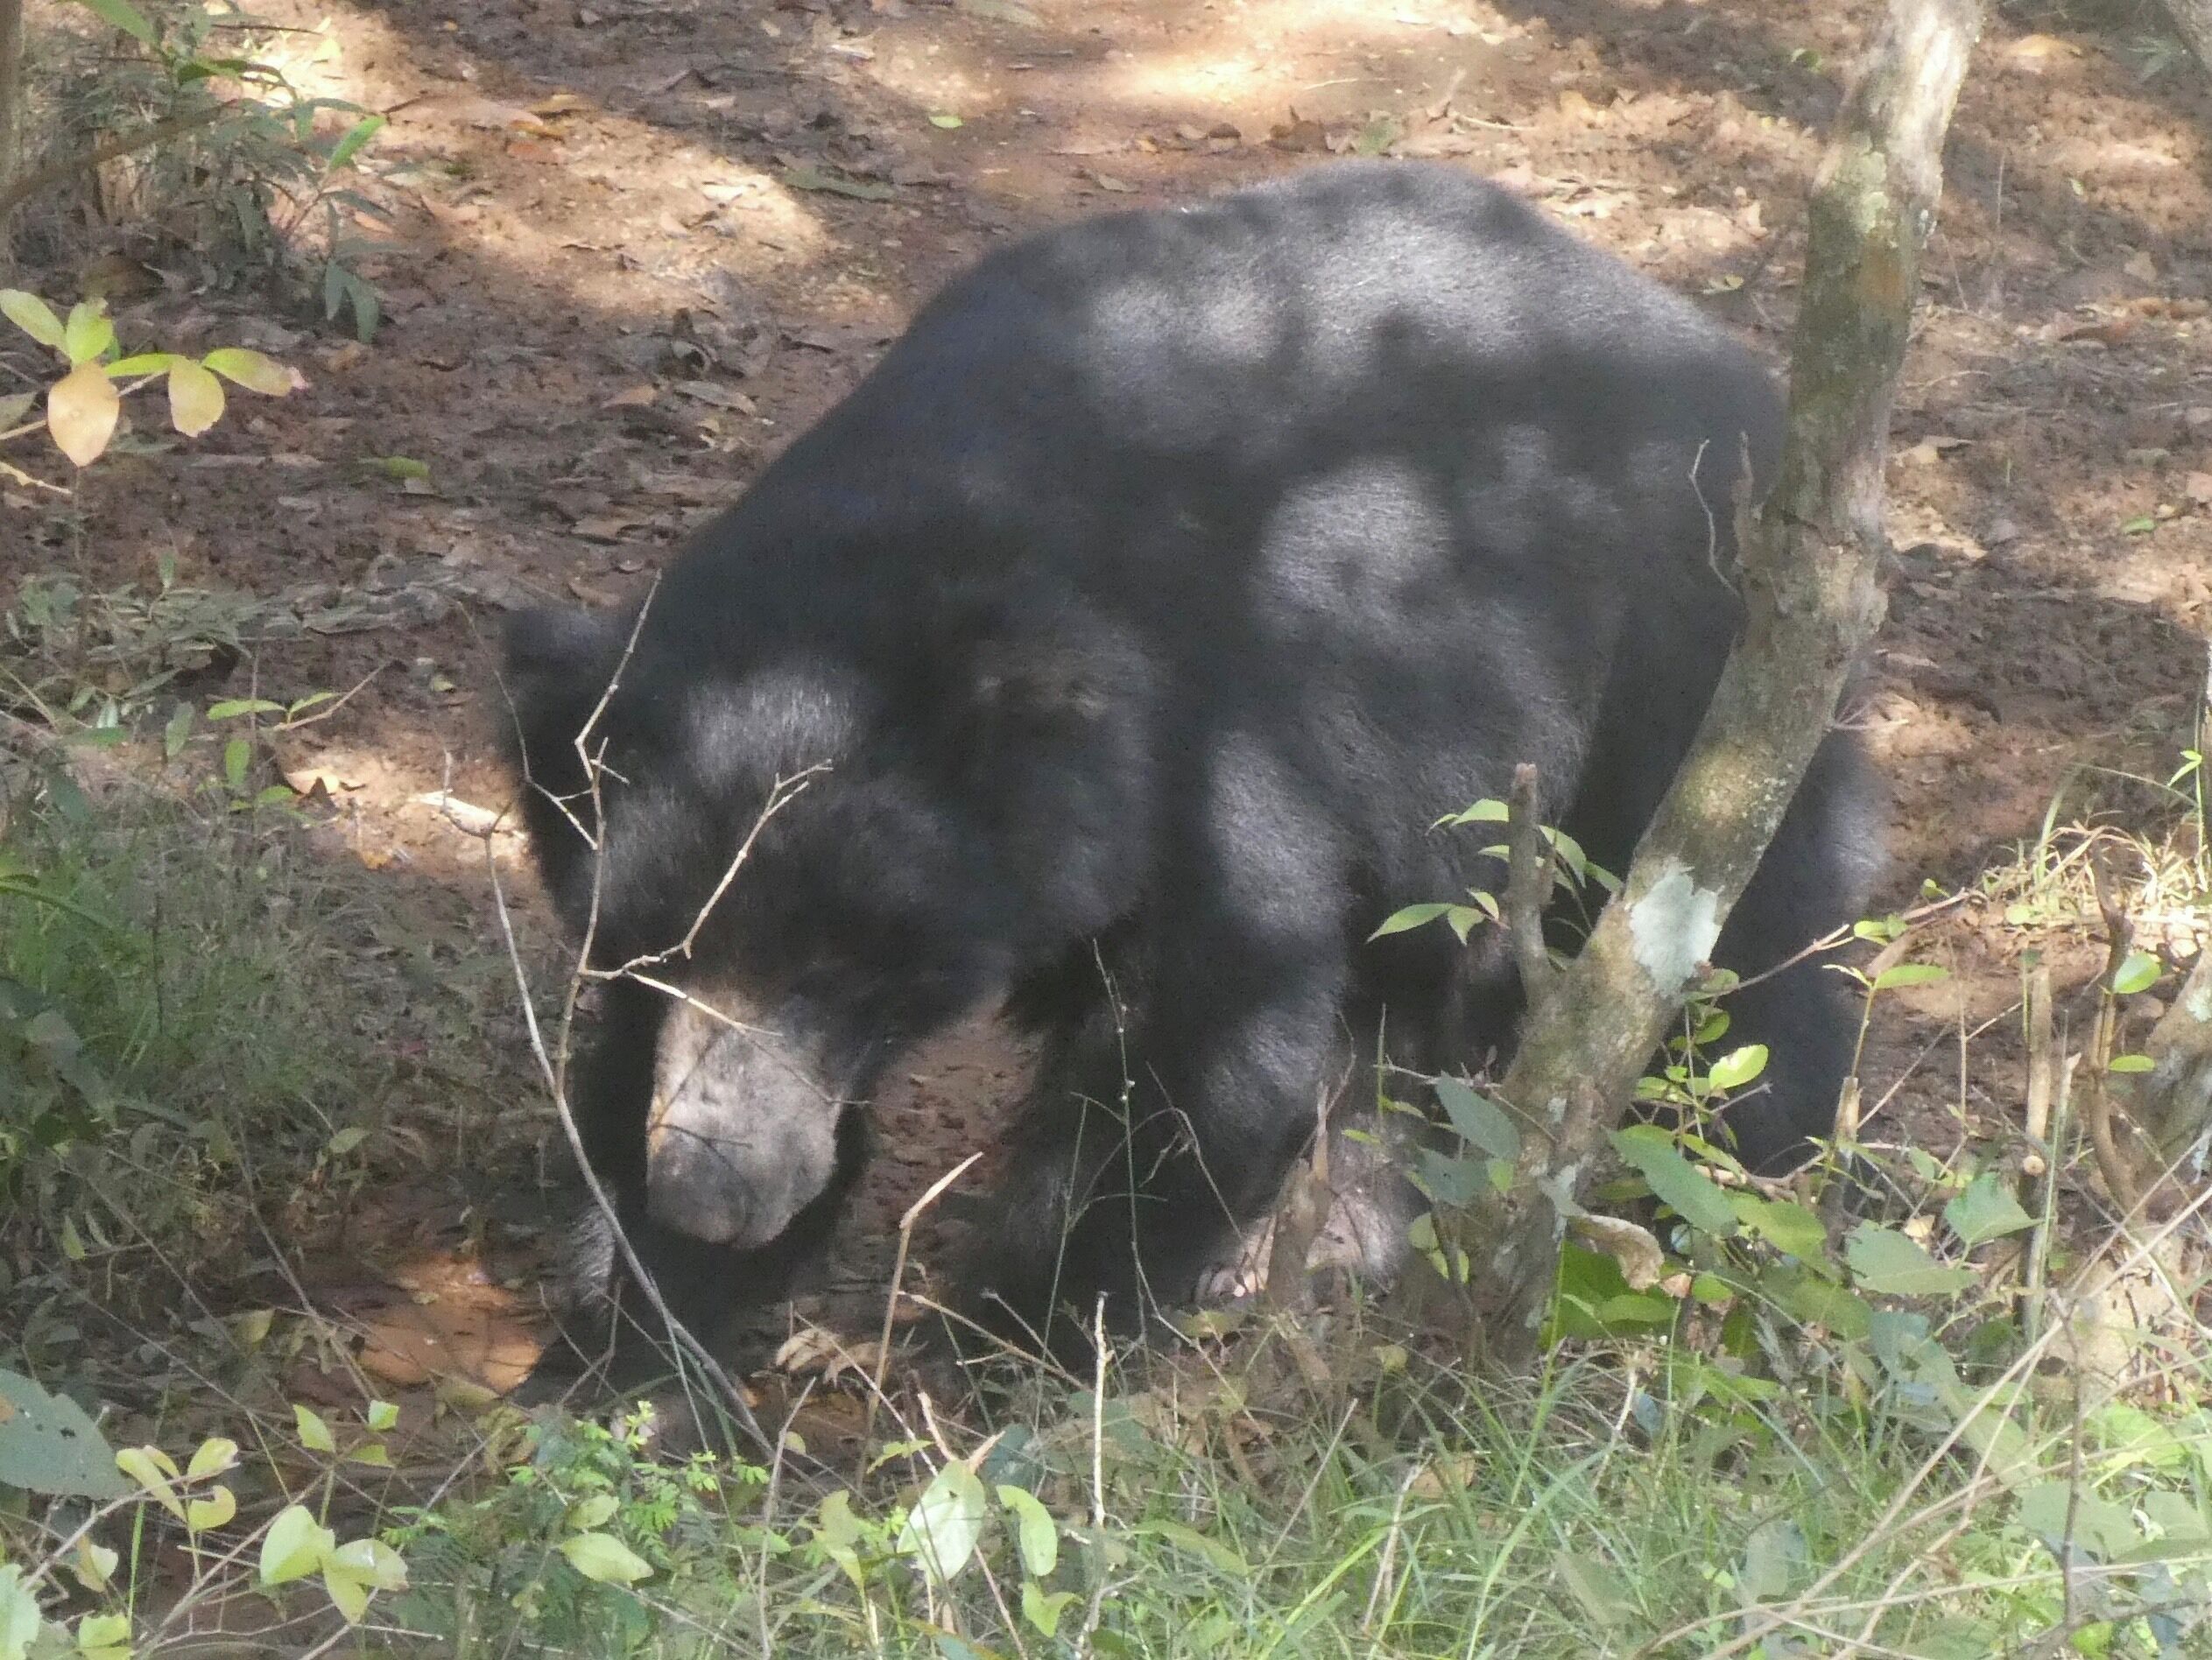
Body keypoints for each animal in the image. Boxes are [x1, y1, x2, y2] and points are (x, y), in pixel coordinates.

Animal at [499, 159, 1885, 1373]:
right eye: (640, 953)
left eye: (836, 972)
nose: (711, 1186)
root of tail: (1721, 355)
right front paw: (642, 1315)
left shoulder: (1229, 733)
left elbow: (1206, 1040)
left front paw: (1007, 1334)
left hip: (1689, 649)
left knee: (1751, 949)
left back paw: (1758, 1206)